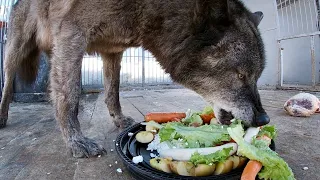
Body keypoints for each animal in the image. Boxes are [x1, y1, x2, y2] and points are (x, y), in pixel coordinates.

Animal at [0, 0, 270, 158]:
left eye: (257, 76)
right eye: (241, 75)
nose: (264, 119)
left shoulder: (112, 50)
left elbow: (112, 92)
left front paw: (119, 120)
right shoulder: (72, 35)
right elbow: (70, 96)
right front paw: (76, 142)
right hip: (16, 50)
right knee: (8, 84)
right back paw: (2, 116)